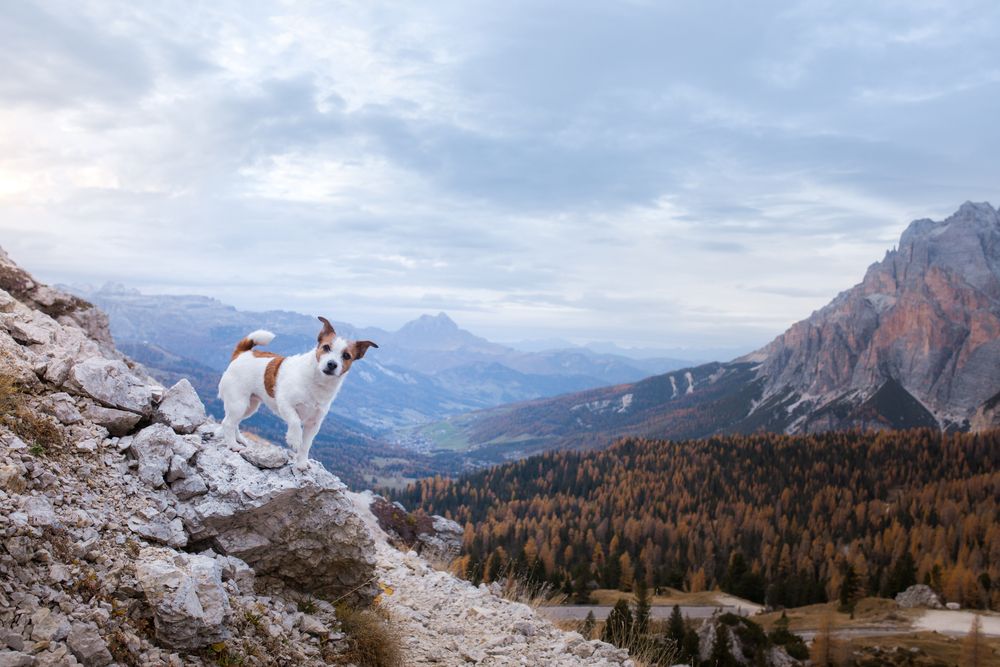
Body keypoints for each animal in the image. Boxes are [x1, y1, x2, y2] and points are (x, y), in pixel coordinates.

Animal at [217, 318, 376, 470]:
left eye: (346, 356)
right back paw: (233, 445)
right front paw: (294, 439)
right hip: (239, 403)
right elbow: (295, 422)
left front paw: (301, 464)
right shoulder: (285, 404)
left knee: (234, 422)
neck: (317, 383)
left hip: (249, 406)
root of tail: (242, 354)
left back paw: (239, 439)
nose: (332, 364)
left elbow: (305, 446)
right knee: (227, 422)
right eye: (326, 347)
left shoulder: (313, 424)